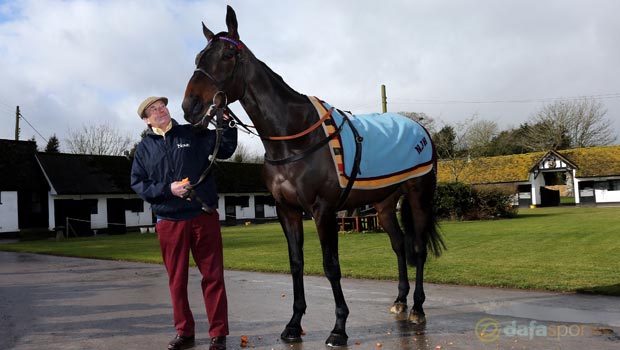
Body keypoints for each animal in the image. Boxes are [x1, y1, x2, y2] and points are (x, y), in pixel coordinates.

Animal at [182, 5, 444, 348]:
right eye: (199, 56)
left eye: (227, 54)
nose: (190, 106)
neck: (294, 136)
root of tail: (421, 129)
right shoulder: (288, 210)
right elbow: (296, 264)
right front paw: (294, 324)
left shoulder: (323, 211)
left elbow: (331, 266)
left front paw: (339, 327)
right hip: (385, 204)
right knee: (399, 245)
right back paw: (400, 301)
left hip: (418, 196)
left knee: (418, 248)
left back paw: (417, 308)